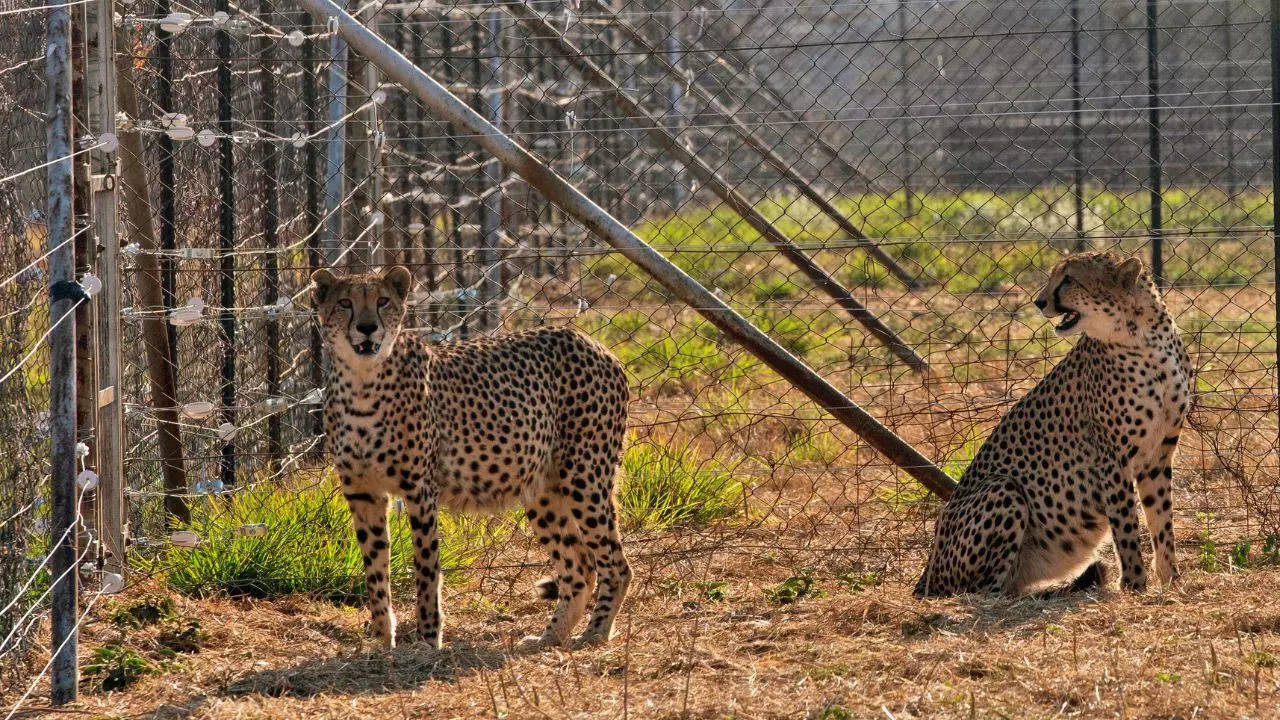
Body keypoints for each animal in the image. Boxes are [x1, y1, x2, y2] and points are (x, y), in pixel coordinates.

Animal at [309, 266, 629, 648]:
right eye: (345, 303)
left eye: (382, 301)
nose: (368, 327)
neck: (362, 381)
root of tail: (588, 340)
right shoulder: (363, 493)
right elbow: (374, 570)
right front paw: (382, 642)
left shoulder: (420, 489)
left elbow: (426, 568)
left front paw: (428, 639)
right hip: (542, 490)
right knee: (579, 565)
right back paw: (549, 637)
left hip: (585, 478)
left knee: (616, 564)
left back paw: (595, 633)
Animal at [916, 251, 1192, 594]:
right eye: (1053, 276)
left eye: (1069, 279)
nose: (1039, 301)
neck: (1145, 338)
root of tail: (926, 571)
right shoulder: (1112, 458)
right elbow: (1126, 525)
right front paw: (1134, 585)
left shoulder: (1158, 454)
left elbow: (1161, 519)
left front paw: (1171, 580)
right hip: (1003, 488)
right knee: (986, 589)